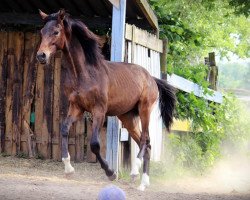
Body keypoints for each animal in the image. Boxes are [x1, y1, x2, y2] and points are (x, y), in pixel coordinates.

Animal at [36, 9, 176, 191]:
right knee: (145, 143)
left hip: (145, 110)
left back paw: (134, 172)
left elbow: (95, 144)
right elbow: (64, 129)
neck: (85, 74)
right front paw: (68, 169)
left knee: (145, 139)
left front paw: (111, 173)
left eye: (56, 32)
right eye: (41, 32)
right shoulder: (76, 108)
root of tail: (151, 78)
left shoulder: (99, 111)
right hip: (128, 117)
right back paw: (143, 182)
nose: (41, 56)